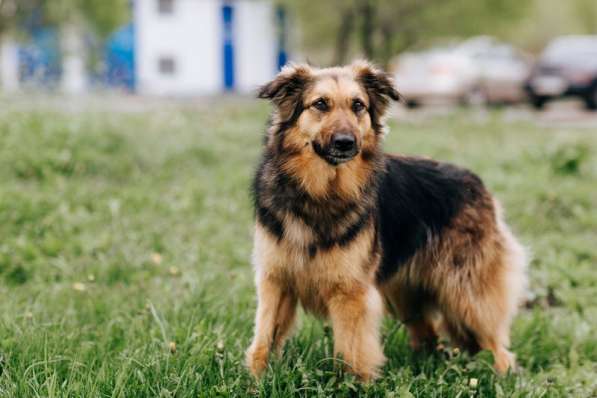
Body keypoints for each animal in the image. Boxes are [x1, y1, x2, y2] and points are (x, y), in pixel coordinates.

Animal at [246, 60, 528, 380]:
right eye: (320, 104)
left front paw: (349, 384)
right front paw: (255, 381)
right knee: (427, 335)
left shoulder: (350, 292)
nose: (346, 143)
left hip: (466, 294)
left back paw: (503, 373)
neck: (319, 193)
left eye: (358, 105)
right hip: (404, 291)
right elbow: (264, 338)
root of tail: (477, 182)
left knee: (495, 342)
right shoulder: (276, 281)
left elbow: (350, 352)